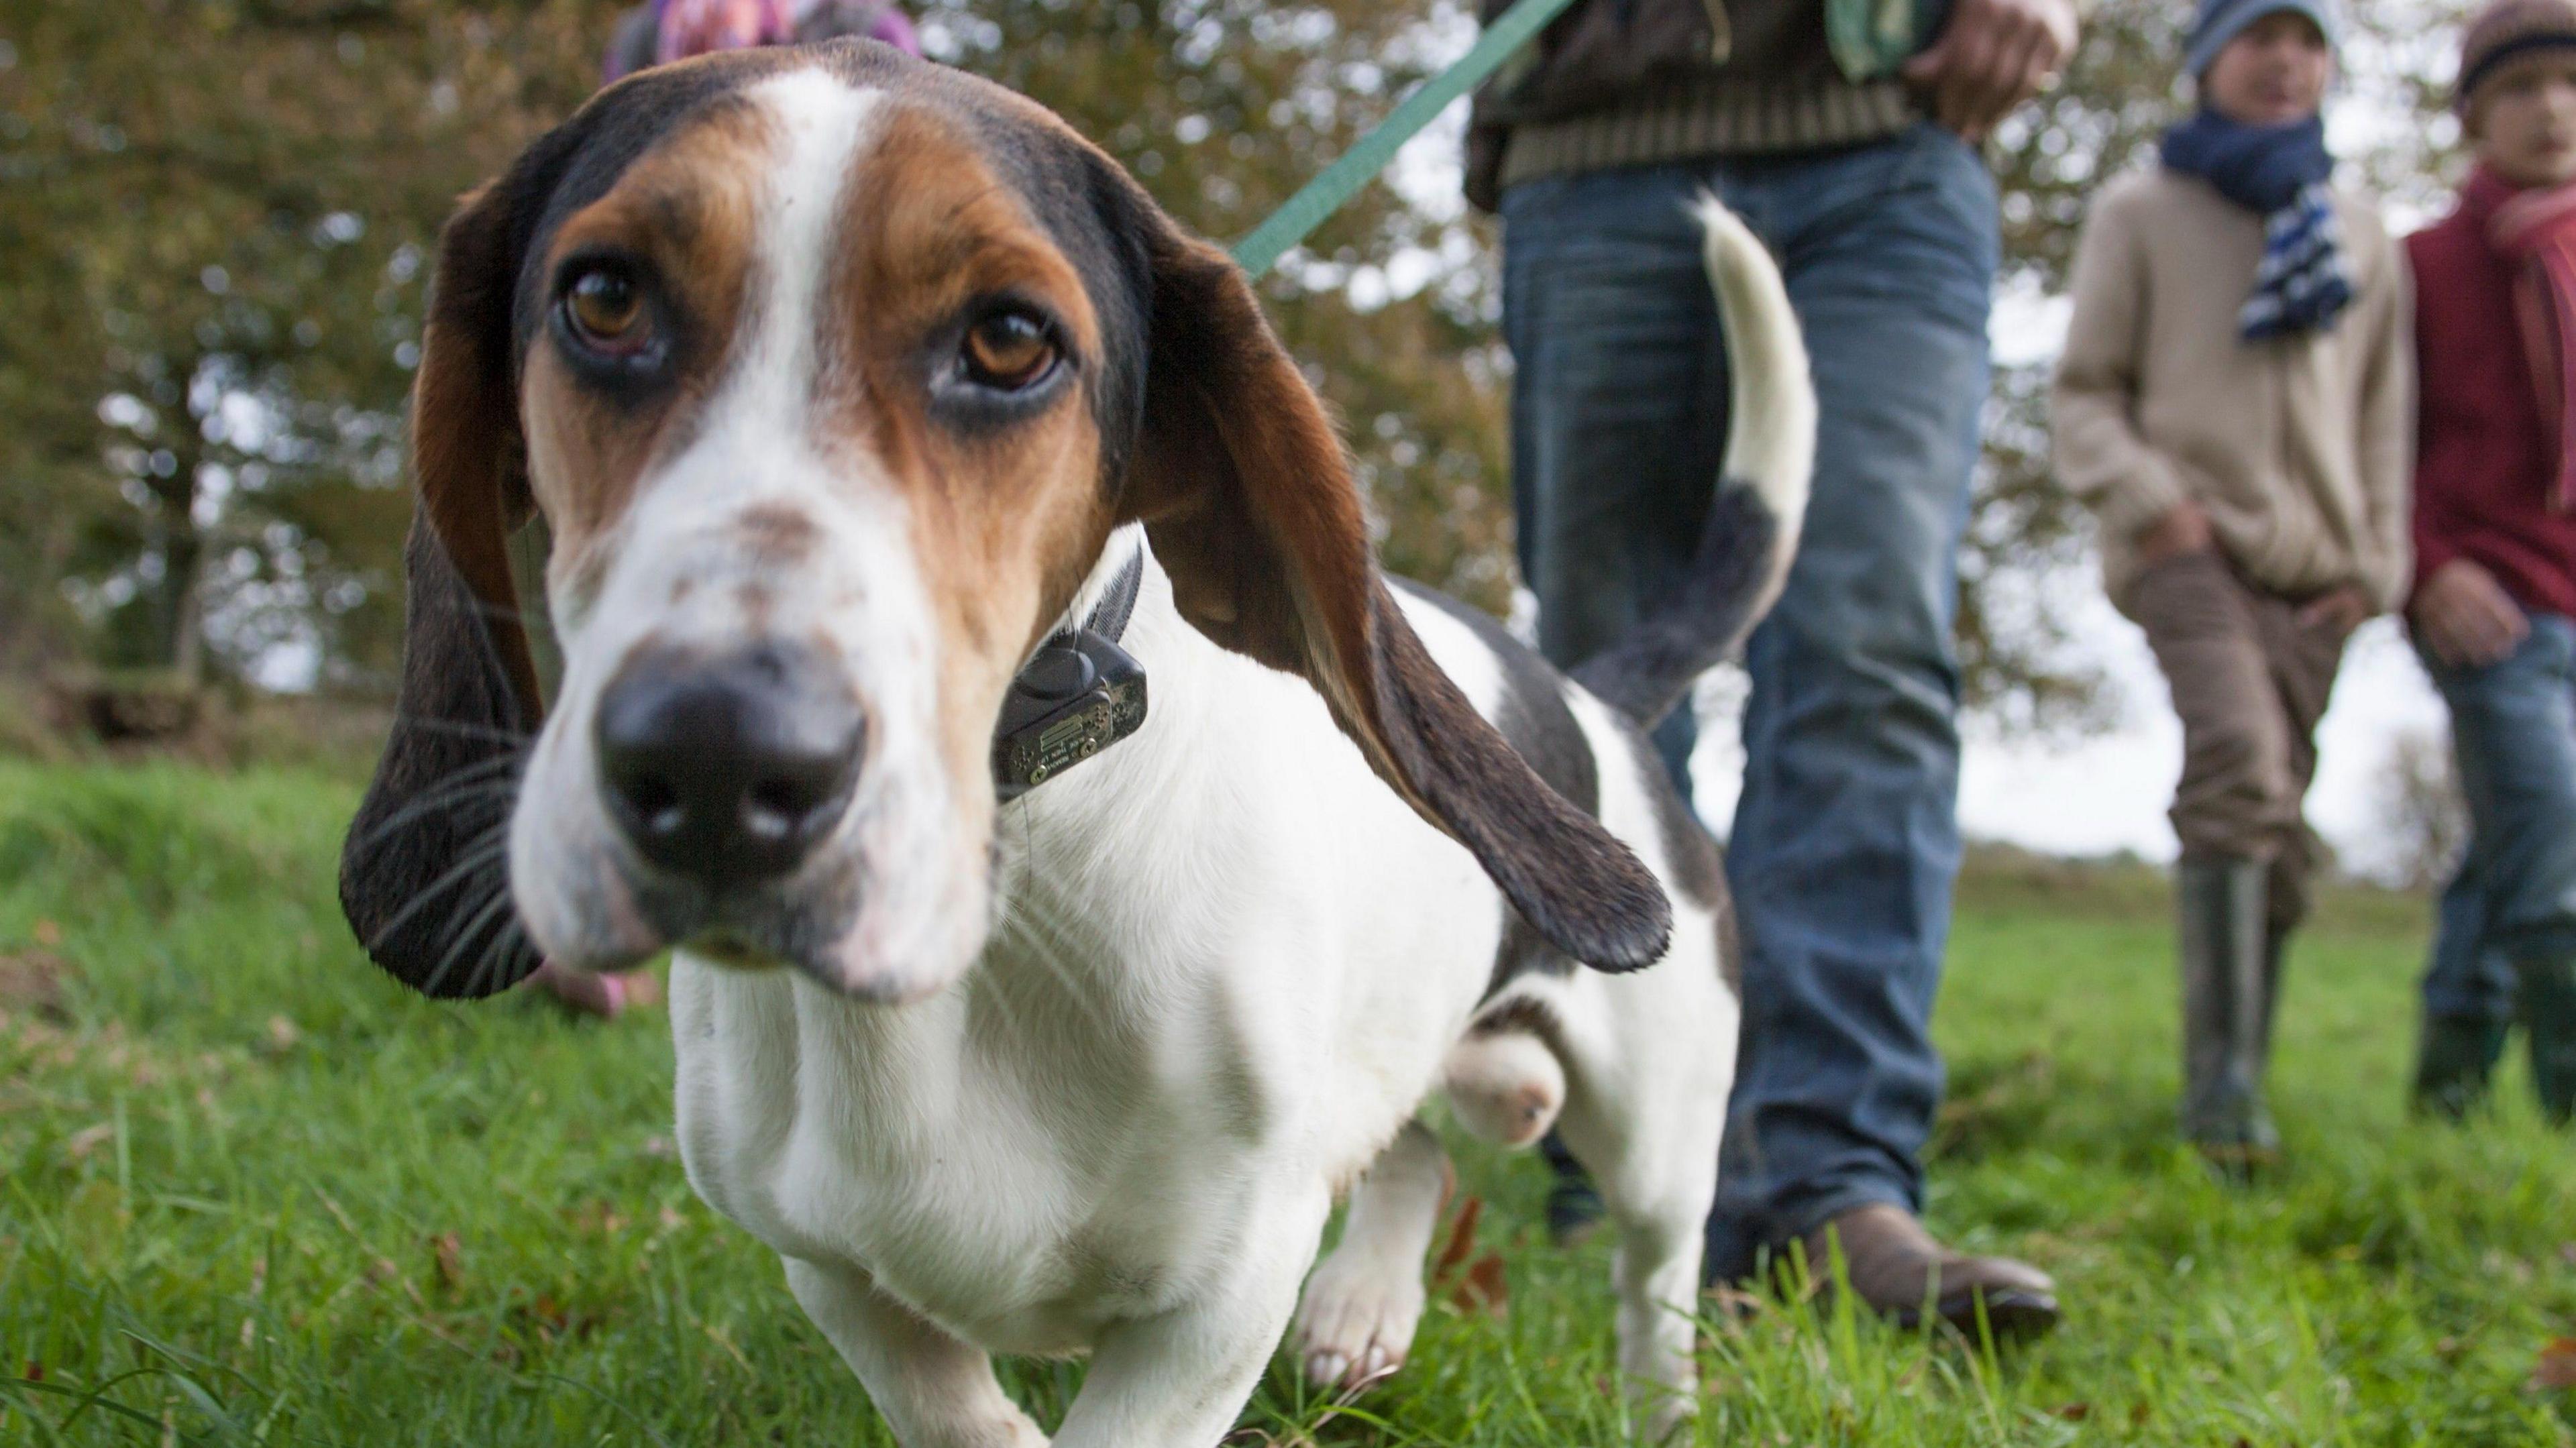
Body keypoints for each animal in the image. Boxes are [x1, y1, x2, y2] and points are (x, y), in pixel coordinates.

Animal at [342, 42, 1823, 1443]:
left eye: (1010, 340)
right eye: (604, 299)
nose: (716, 761)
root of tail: (1591, 694)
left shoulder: (1217, 1299)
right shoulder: (825, 1254)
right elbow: (951, 1400)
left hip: (1658, 1137)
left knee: (1652, 1287)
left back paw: (1653, 1404)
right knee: (1415, 1152)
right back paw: (1363, 1306)